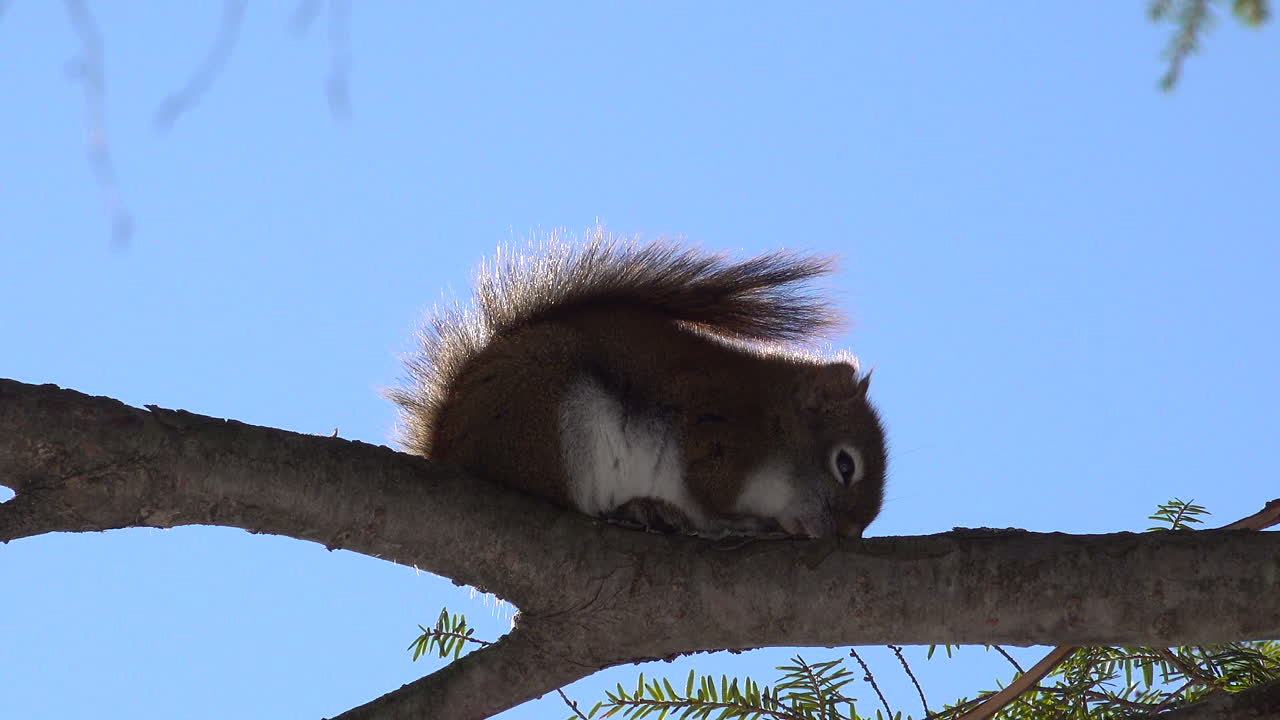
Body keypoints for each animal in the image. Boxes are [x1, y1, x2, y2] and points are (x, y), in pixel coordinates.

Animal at [388, 230, 887, 538]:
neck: (772, 420)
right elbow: (709, 499)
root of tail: (447, 444)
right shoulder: (714, 429)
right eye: (846, 465)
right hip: (549, 418)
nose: (847, 536)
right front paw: (741, 523)